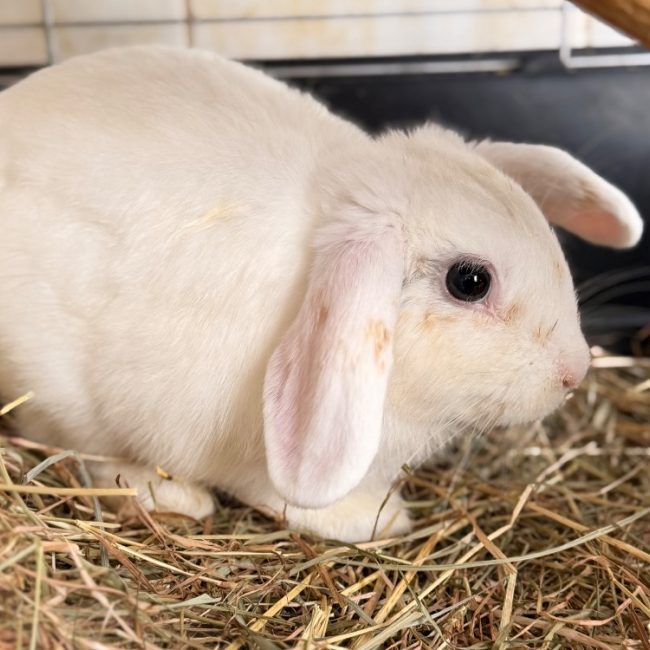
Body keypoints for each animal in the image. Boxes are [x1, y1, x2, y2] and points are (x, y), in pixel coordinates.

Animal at [0, 46, 643, 541]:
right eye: (470, 281)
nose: (574, 371)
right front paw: (379, 520)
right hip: (58, 395)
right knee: (82, 455)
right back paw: (174, 498)